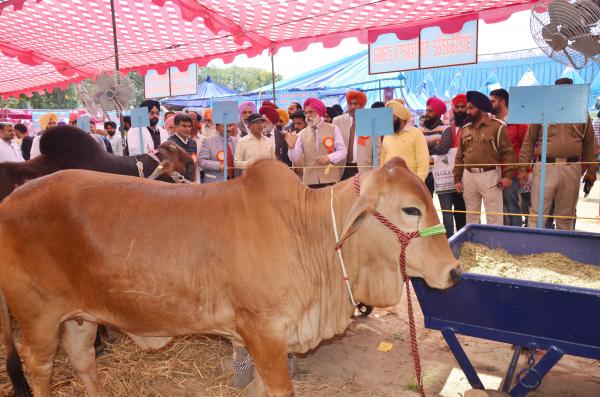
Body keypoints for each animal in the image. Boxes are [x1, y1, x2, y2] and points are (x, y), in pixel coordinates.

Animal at [0, 158, 460, 396]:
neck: (308, 232)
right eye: (411, 209)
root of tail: (10, 199)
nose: (454, 271)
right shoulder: (265, 331)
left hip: (80, 317)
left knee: (83, 360)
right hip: (38, 318)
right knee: (39, 367)